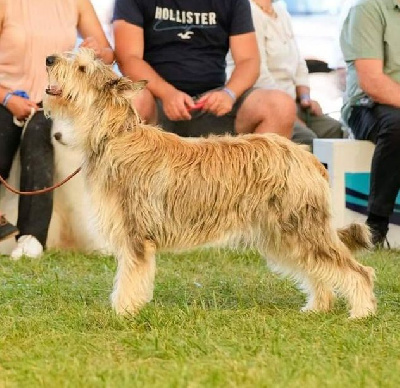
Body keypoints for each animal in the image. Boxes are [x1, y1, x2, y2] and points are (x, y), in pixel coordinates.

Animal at [44, 48, 378, 318]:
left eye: (82, 68)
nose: (48, 59)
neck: (115, 135)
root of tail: (307, 156)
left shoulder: (136, 236)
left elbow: (129, 280)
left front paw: (122, 313)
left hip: (301, 230)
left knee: (357, 271)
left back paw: (361, 313)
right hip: (284, 236)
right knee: (319, 272)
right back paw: (317, 308)